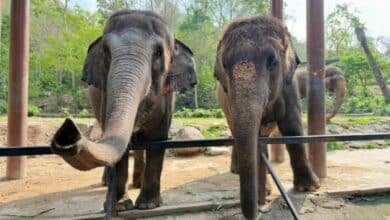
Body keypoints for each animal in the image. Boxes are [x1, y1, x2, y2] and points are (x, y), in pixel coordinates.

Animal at [50, 10, 197, 211]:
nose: (68, 133)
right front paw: (120, 206)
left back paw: (137, 184)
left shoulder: (167, 98)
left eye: (158, 53)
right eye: (106, 51)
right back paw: (108, 183)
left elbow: (157, 140)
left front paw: (148, 205)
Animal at [213, 15, 320, 218]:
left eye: (272, 62)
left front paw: (308, 188)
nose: (255, 211)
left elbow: (292, 126)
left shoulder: (289, 85)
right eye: (224, 65)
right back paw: (238, 171)